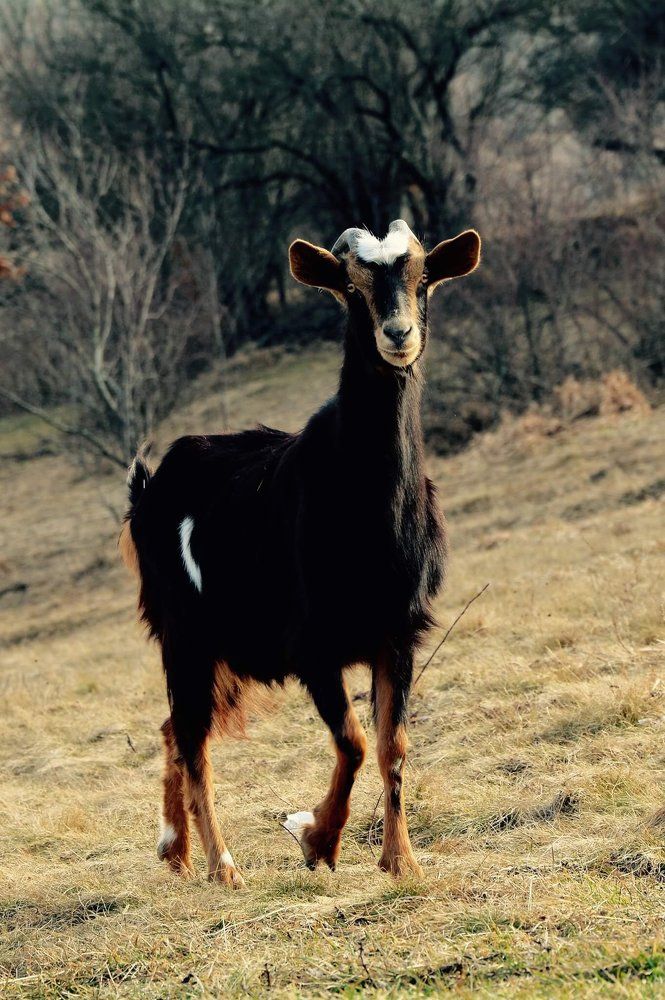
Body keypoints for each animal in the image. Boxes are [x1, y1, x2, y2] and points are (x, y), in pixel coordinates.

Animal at [120, 219, 481, 886]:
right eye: (352, 289)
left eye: (423, 280)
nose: (398, 334)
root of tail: (149, 489)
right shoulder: (313, 645)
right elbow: (355, 741)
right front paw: (316, 837)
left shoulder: (398, 633)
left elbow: (392, 744)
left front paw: (401, 861)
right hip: (185, 634)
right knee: (192, 737)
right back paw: (223, 867)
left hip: (223, 649)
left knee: (173, 727)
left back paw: (175, 852)